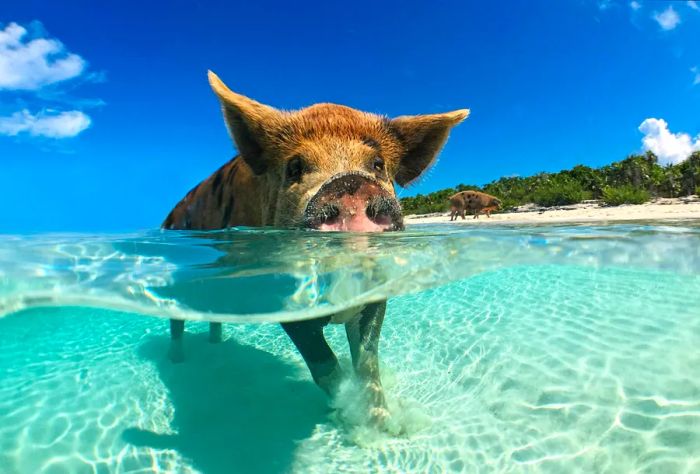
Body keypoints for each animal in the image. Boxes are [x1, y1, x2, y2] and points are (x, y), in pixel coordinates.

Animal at [163, 71, 470, 430]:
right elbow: (323, 364)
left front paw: (385, 427)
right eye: (294, 167)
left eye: (378, 164)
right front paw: (349, 420)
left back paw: (215, 344)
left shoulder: (376, 293)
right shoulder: (282, 296)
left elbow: (367, 363)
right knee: (176, 321)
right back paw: (177, 361)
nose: (350, 184)